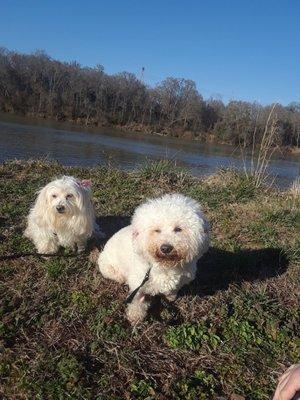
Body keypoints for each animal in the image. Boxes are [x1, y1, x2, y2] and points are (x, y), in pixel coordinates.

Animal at [97, 193, 210, 324]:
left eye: (178, 229)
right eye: (157, 230)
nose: (166, 248)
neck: (165, 266)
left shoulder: (181, 279)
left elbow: (172, 290)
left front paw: (170, 297)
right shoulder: (138, 285)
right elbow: (137, 301)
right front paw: (135, 316)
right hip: (109, 268)